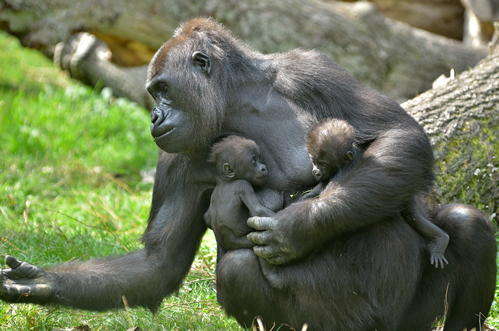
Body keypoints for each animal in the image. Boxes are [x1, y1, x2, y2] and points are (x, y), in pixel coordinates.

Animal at [205, 137, 288, 288]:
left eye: (259, 158)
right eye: (253, 160)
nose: (263, 167)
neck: (225, 180)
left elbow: (207, 218)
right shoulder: (243, 185)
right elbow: (257, 209)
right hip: (240, 241)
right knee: (258, 242)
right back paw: (272, 276)